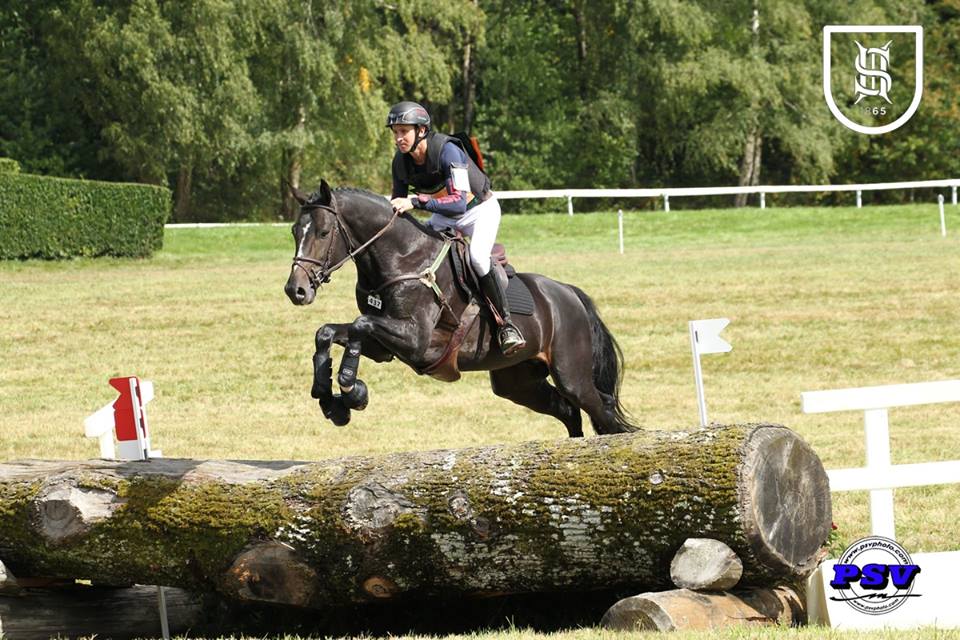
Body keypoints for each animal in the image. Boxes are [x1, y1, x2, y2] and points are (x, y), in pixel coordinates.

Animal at [282, 182, 632, 438]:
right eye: (295, 231)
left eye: (323, 233)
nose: (296, 290)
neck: (403, 258)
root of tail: (569, 293)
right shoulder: (386, 347)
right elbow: (328, 332)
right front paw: (329, 397)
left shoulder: (415, 340)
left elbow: (359, 324)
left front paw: (350, 390)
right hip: (518, 382)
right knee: (570, 413)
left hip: (571, 375)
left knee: (602, 414)